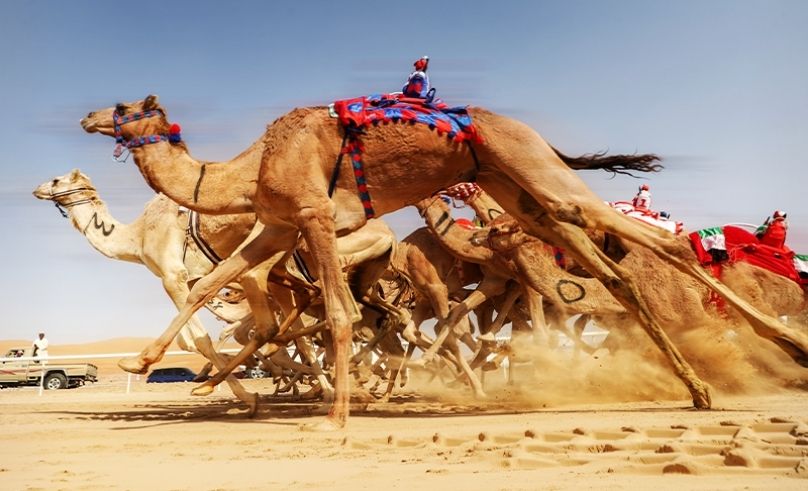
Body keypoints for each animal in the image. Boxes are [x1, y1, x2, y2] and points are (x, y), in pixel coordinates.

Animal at [80, 94, 808, 428]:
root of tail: (534, 134)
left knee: (662, 246)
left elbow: (338, 313)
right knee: (617, 273)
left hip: (534, 177)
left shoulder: (313, 218)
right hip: (523, 198)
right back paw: (701, 388)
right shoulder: (277, 226)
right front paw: (144, 364)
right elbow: (210, 286)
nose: (88, 118)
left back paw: (782, 347)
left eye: (122, 108)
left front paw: (336, 417)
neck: (248, 166)